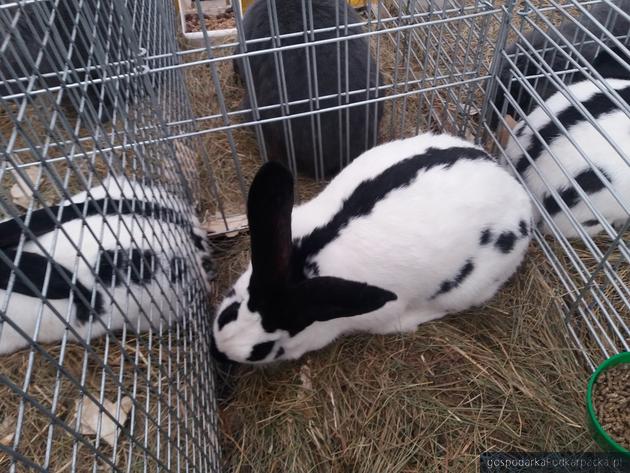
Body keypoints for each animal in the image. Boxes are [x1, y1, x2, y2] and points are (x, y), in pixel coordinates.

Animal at [212, 133, 532, 362]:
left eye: (263, 349)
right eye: (230, 309)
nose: (219, 351)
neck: (303, 269)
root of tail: (519, 197)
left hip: (470, 288)